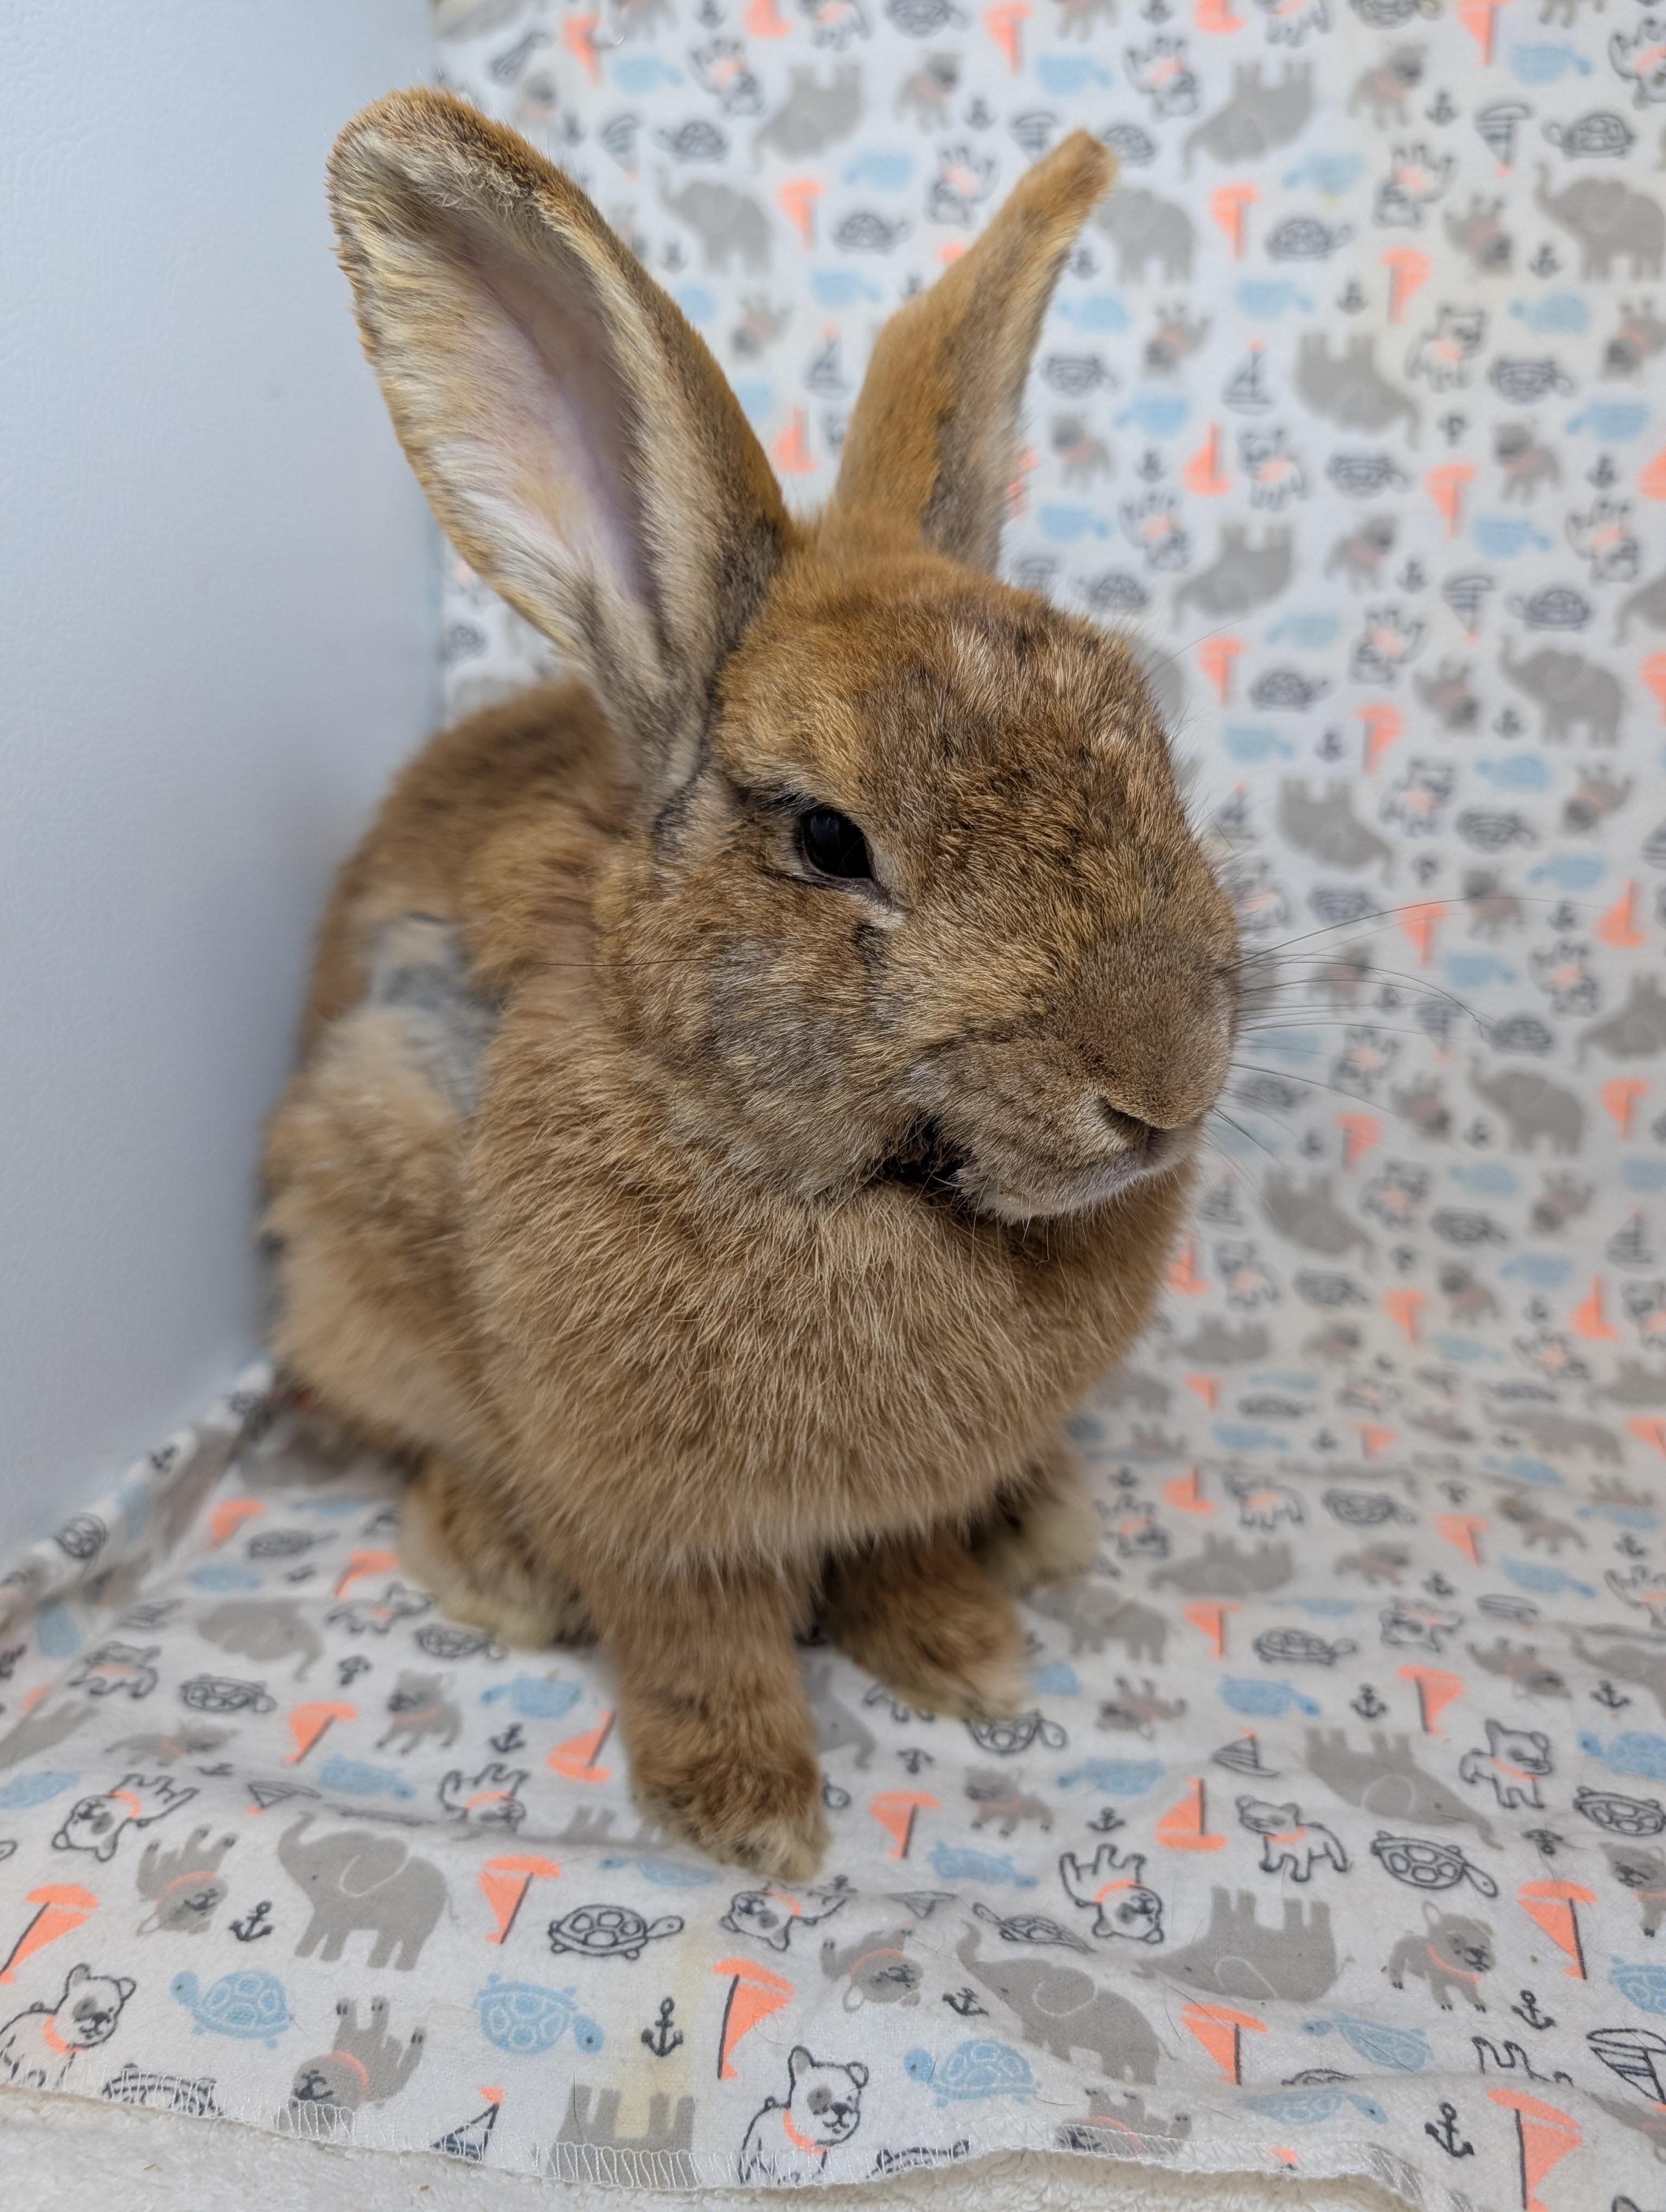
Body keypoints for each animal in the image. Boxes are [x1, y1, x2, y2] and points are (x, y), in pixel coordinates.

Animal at [262, 90, 1239, 1881]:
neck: (839, 1186)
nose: (1164, 1087)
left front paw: (962, 1653)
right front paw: (752, 1810)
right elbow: (691, 1636)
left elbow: (909, 1556)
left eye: (1140, 734)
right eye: (829, 841)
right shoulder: (647, 1511)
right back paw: (493, 1564)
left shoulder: (899, 1498)